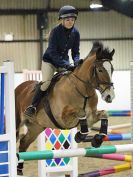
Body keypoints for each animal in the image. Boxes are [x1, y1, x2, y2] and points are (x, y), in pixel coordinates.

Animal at [15, 41, 115, 174]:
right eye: (100, 70)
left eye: (112, 69)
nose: (110, 96)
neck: (83, 90)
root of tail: (20, 87)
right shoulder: (63, 118)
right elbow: (81, 112)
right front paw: (80, 135)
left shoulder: (92, 115)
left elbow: (104, 114)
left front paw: (97, 139)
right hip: (18, 123)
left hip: (36, 127)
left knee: (23, 143)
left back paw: (19, 170)